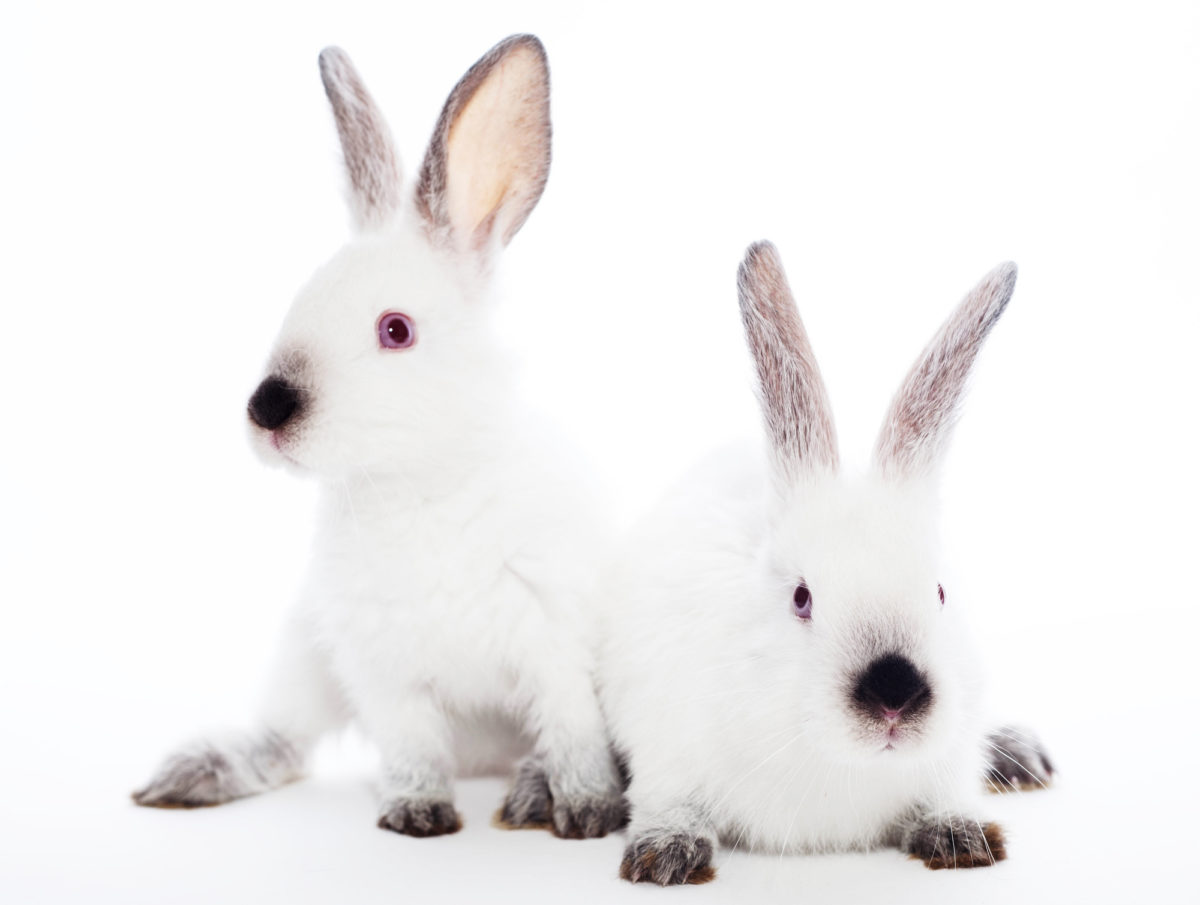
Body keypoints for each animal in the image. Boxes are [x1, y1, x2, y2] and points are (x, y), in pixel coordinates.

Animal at [131, 34, 627, 840]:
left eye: (396, 330)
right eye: (300, 298)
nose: (268, 407)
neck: (417, 488)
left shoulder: (559, 649)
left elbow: (573, 735)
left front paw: (587, 813)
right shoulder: (382, 670)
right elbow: (411, 746)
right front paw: (417, 814)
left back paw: (528, 792)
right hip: (304, 660)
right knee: (283, 743)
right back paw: (192, 775)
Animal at [600, 241, 1049, 884]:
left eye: (940, 592)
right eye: (801, 597)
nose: (894, 694)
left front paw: (958, 835)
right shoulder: (666, 749)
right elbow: (666, 804)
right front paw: (666, 855)